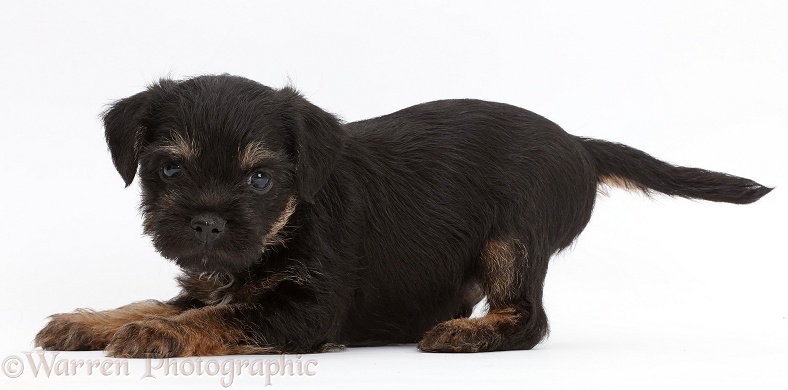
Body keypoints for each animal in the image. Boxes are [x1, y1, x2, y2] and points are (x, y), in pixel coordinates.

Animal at [33, 74, 768, 358]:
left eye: (261, 178)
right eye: (170, 170)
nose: (207, 223)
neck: (290, 220)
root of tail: (578, 144)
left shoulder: (303, 311)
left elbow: (219, 317)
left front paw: (157, 335)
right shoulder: (210, 280)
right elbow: (157, 300)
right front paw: (90, 321)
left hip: (514, 237)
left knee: (530, 317)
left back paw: (467, 334)